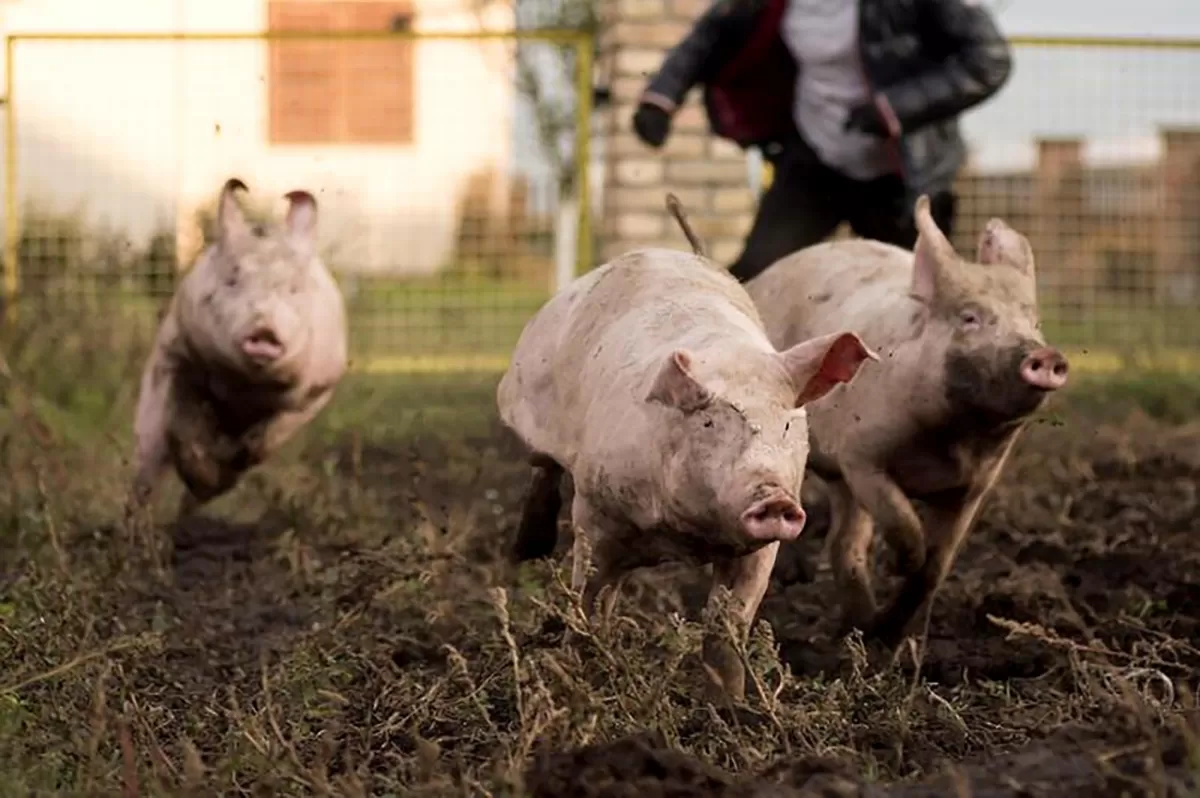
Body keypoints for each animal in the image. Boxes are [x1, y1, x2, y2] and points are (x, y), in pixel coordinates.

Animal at [748, 193, 1070, 648]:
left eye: (1035, 322)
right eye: (969, 317)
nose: (1043, 354)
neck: (954, 439)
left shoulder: (972, 488)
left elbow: (934, 570)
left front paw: (893, 635)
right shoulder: (860, 454)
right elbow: (902, 519)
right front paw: (901, 564)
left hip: (842, 485)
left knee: (843, 544)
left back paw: (860, 627)